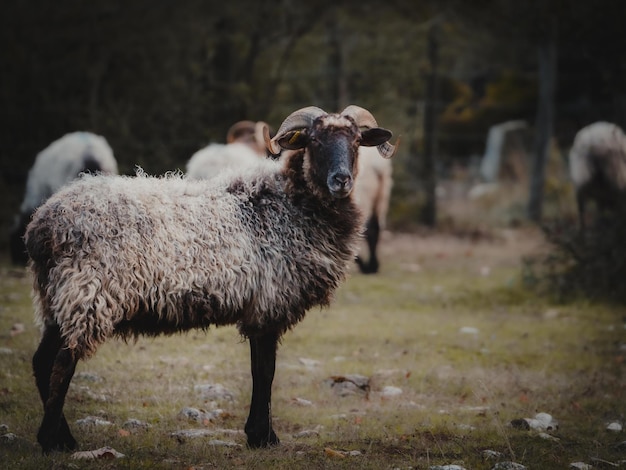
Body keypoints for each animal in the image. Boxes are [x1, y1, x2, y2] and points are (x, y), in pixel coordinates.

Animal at [352, 145, 390, 274]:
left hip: (363, 195)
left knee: (365, 229)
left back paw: (368, 267)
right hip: (381, 194)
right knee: (376, 227)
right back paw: (373, 266)